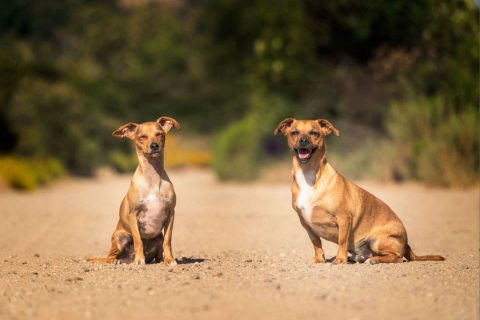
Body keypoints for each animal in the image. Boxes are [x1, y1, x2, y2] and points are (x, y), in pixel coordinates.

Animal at [87, 117, 180, 264]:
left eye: (159, 134)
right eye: (142, 137)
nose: (154, 146)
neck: (153, 178)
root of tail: (126, 258)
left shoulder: (171, 214)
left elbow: (168, 240)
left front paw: (170, 260)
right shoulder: (133, 215)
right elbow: (138, 241)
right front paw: (139, 260)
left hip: (158, 237)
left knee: (159, 250)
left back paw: (160, 259)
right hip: (119, 238)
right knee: (110, 256)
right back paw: (117, 261)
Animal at [272, 119, 444, 264]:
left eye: (314, 133)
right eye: (295, 132)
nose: (303, 140)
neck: (308, 174)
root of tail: (407, 244)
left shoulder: (343, 218)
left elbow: (341, 241)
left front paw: (340, 260)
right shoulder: (306, 224)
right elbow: (316, 243)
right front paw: (320, 259)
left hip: (378, 241)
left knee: (397, 258)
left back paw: (374, 260)